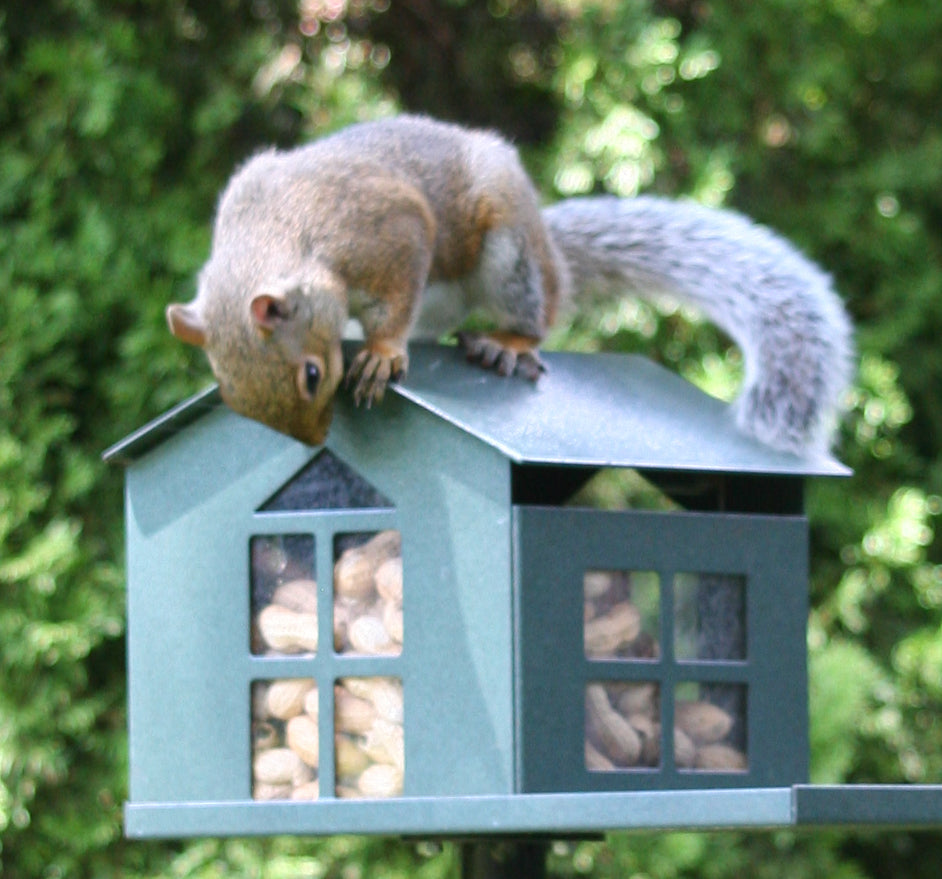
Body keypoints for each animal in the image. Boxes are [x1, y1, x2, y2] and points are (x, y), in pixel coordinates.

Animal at [167, 114, 852, 456]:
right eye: (230, 394)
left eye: (312, 375)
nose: (317, 441)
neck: (275, 236)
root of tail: (552, 255)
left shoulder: (390, 234)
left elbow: (395, 299)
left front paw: (382, 355)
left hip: (509, 254)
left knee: (535, 315)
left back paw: (507, 343)